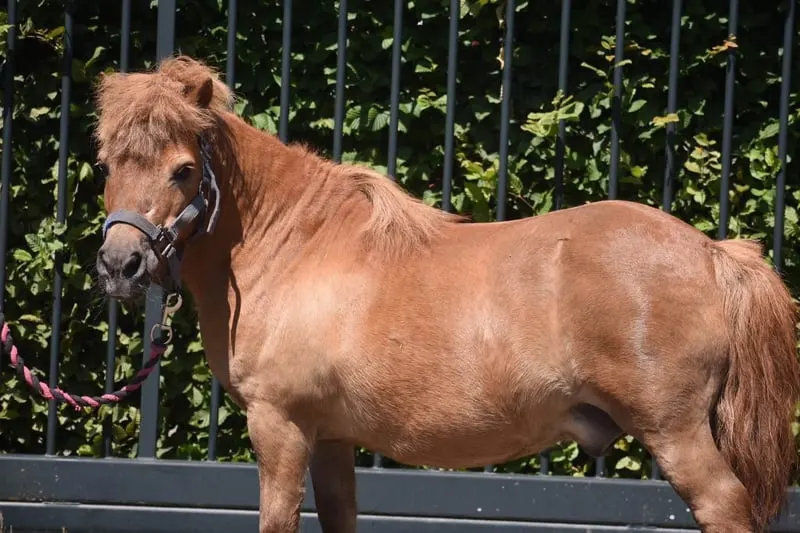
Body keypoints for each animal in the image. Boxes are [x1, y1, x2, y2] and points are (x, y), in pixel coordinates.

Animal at [92, 55, 800, 533]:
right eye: (106, 164)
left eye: (184, 170)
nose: (121, 264)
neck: (295, 241)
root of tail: (713, 253)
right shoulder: (330, 436)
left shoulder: (280, 425)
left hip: (676, 435)